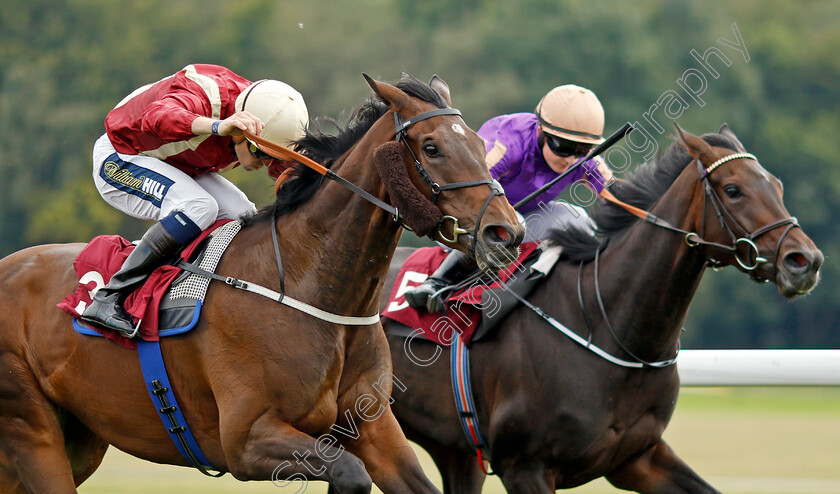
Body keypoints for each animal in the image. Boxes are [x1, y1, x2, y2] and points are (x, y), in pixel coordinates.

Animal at [0, 71, 524, 492]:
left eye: (480, 144)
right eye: (432, 148)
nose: (507, 233)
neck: (308, 283)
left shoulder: (373, 427)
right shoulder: (246, 441)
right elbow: (349, 473)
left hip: (80, 438)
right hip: (34, 432)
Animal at [378, 124, 820, 494]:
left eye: (777, 185)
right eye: (733, 190)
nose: (805, 261)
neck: (611, 327)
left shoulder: (638, 457)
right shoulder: (525, 468)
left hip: (455, 451)